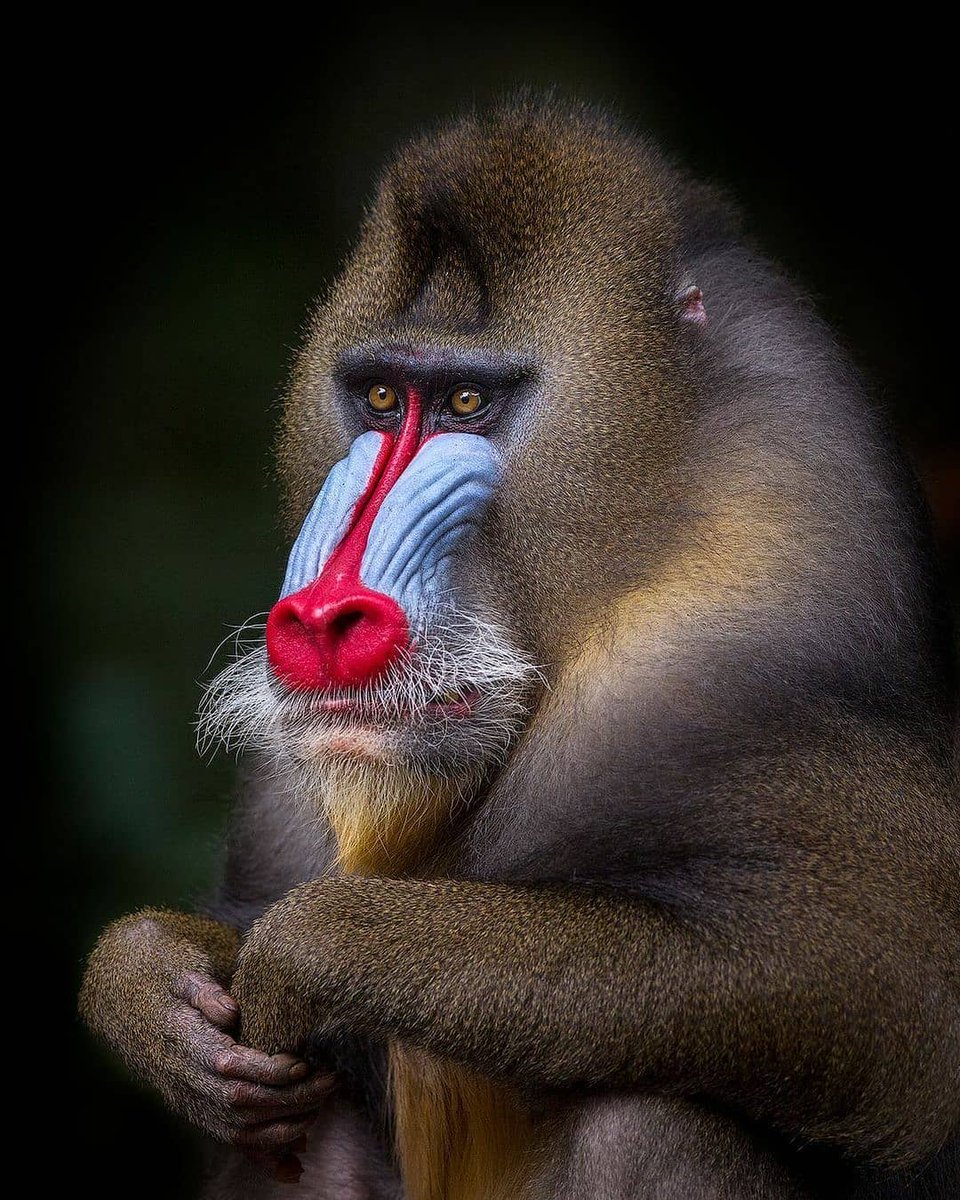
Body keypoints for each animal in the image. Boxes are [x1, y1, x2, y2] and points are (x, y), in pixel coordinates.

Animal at [79, 101, 960, 1200]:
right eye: (380, 401)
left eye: (467, 404)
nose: (322, 620)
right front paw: (152, 979)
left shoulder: (759, 656)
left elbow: (895, 1012)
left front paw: (317, 946)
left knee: (650, 1123)